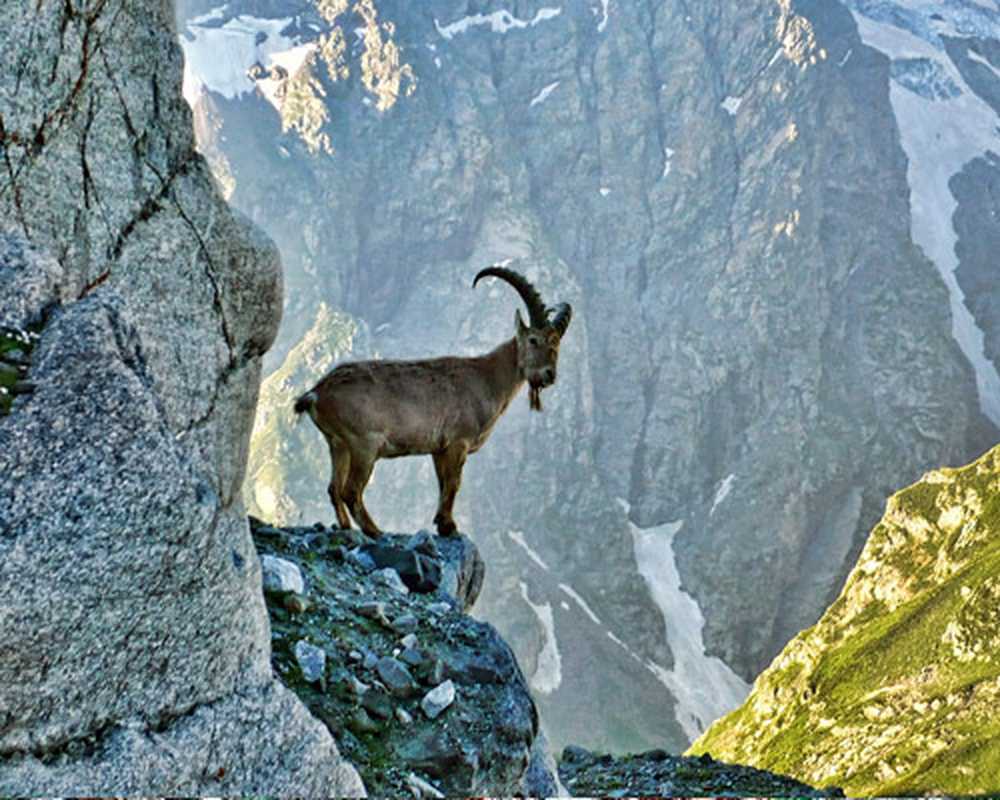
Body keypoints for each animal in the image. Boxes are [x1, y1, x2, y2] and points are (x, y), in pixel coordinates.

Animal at [292, 268, 572, 536]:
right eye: (533, 340)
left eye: (557, 345)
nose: (549, 375)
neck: (486, 377)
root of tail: (317, 392)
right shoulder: (459, 442)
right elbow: (454, 483)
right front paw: (449, 527)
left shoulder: (439, 449)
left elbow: (443, 485)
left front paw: (441, 522)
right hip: (364, 444)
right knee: (350, 490)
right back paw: (374, 530)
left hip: (337, 444)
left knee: (333, 488)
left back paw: (347, 527)